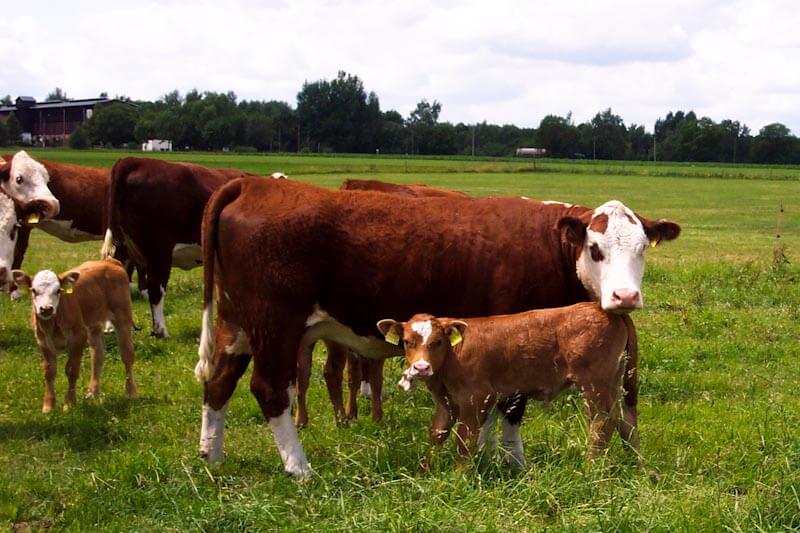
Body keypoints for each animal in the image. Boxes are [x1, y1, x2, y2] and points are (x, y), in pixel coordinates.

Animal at [12, 258, 138, 412]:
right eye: (34, 291)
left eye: (58, 291)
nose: (46, 309)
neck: (51, 325)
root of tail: (109, 261)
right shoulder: (42, 342)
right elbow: (49, 372)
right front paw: (48, 405)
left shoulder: (78, 337)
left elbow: (71, 370)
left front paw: (70, 403)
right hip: (94, 325)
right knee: (97, 355)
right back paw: (93, 393)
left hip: (122, 316)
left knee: (127, 354)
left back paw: (130, 392)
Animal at [378, 304, 636, 470]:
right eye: (407, 342)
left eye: (438, 342)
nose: (421, 368)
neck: (453, 356)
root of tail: (600, 307)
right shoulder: (446, 402)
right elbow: (437, 434)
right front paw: (425, 472)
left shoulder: (477, 398)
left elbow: (465, 439)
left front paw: (459, 477)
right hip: (617, 381)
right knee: (627, 419)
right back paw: (637, 466)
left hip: (594, 384)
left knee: (603, 421)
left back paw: (591, 469)